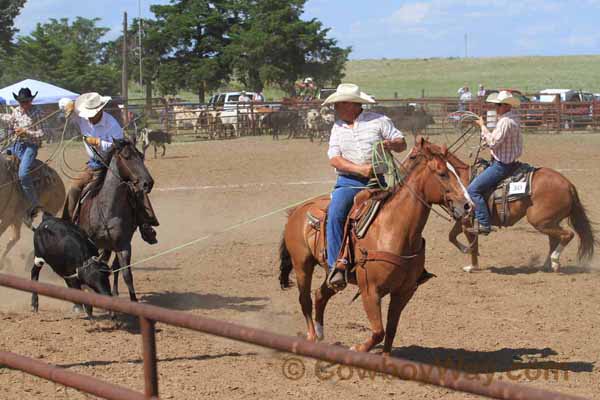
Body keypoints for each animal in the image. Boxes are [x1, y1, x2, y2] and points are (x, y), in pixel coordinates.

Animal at [278, 138, 472, 354]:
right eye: (442, 173)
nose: (467, 205)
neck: (393, 229)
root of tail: (296, 211)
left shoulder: (404, 292)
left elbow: (391, 330)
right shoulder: (370, 291)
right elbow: (378, 331)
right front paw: (357, 348)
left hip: (333, 275)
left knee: (321, 294)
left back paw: (320, 335)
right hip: (302, 264)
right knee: (305, 299)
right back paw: (311, 337)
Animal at [440, 144, 596, 272]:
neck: (461, 180)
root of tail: (568, 184)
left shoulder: (467, 222)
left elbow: (471, 243)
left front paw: (472, 266)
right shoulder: (462, 220)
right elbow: (451, 236)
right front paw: (466, 252)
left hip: (541, 221)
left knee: (567, 234)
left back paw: (554, 260)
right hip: (549, 221)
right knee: (554, 239)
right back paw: (548, 265)